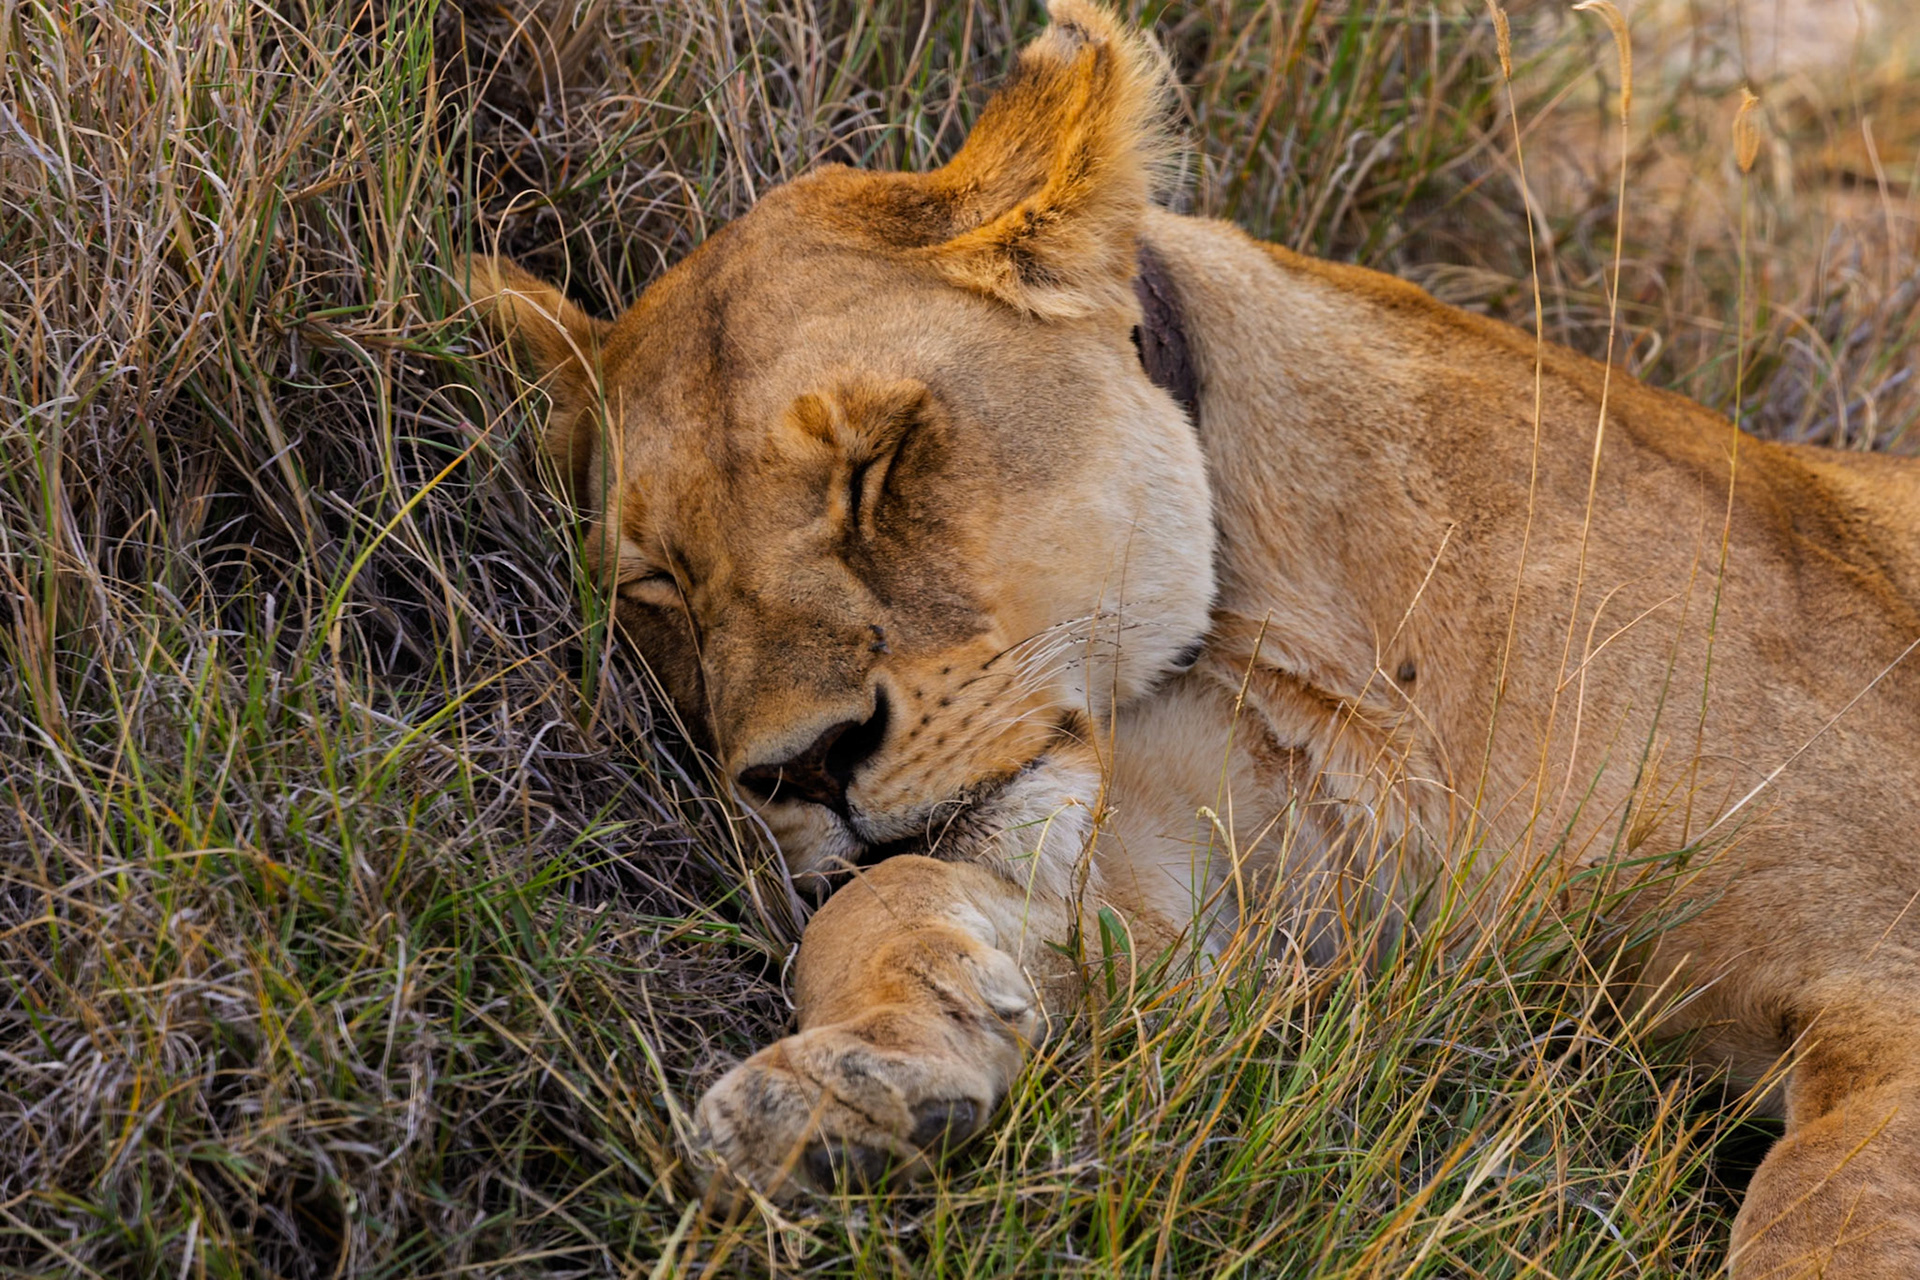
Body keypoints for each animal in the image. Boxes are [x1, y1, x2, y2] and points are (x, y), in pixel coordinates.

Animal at [463, 4, 1920, 1273]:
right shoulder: (1207, 934)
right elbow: (886, 901)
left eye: (876, 462)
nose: (804, 767)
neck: (1307, 628)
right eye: (658, 585)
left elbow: (1825, 1214)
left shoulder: (1882, 961)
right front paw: (842, 1094)